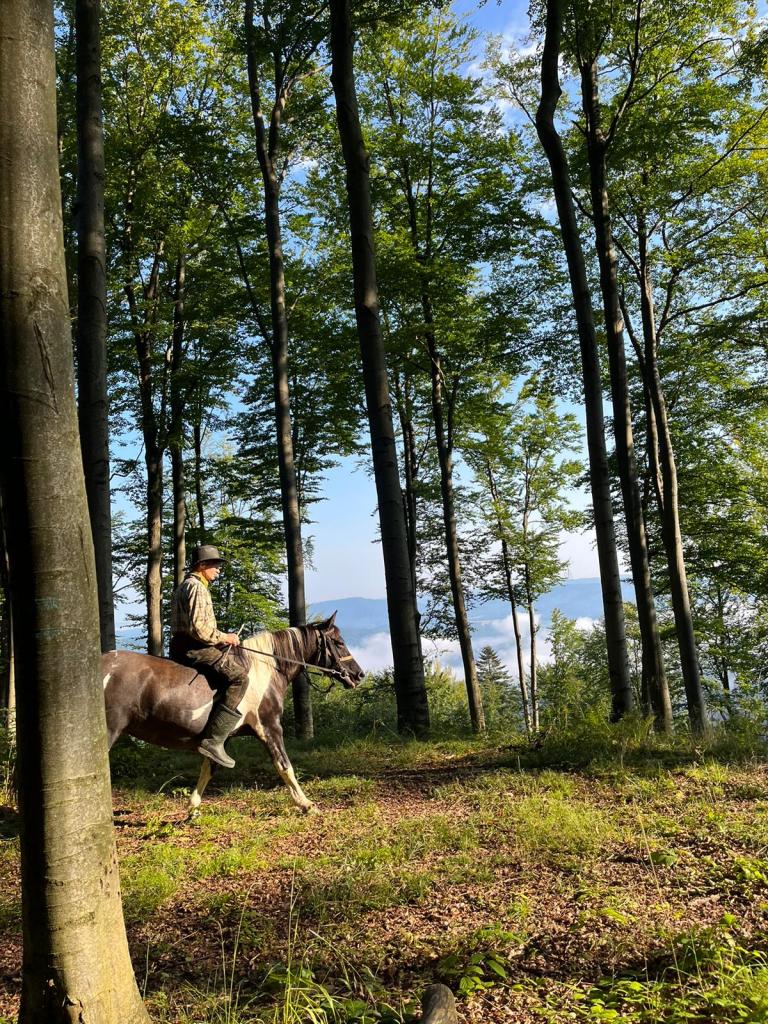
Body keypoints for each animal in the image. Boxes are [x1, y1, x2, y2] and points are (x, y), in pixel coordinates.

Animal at [102, 614, 364, 815]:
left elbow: (209, 767)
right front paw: (307, 805)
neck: (265, 671)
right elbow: (284, 766)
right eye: (338, 642)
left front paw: (193, 808)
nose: (359, 675)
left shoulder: (219, 738)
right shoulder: (269, 727)